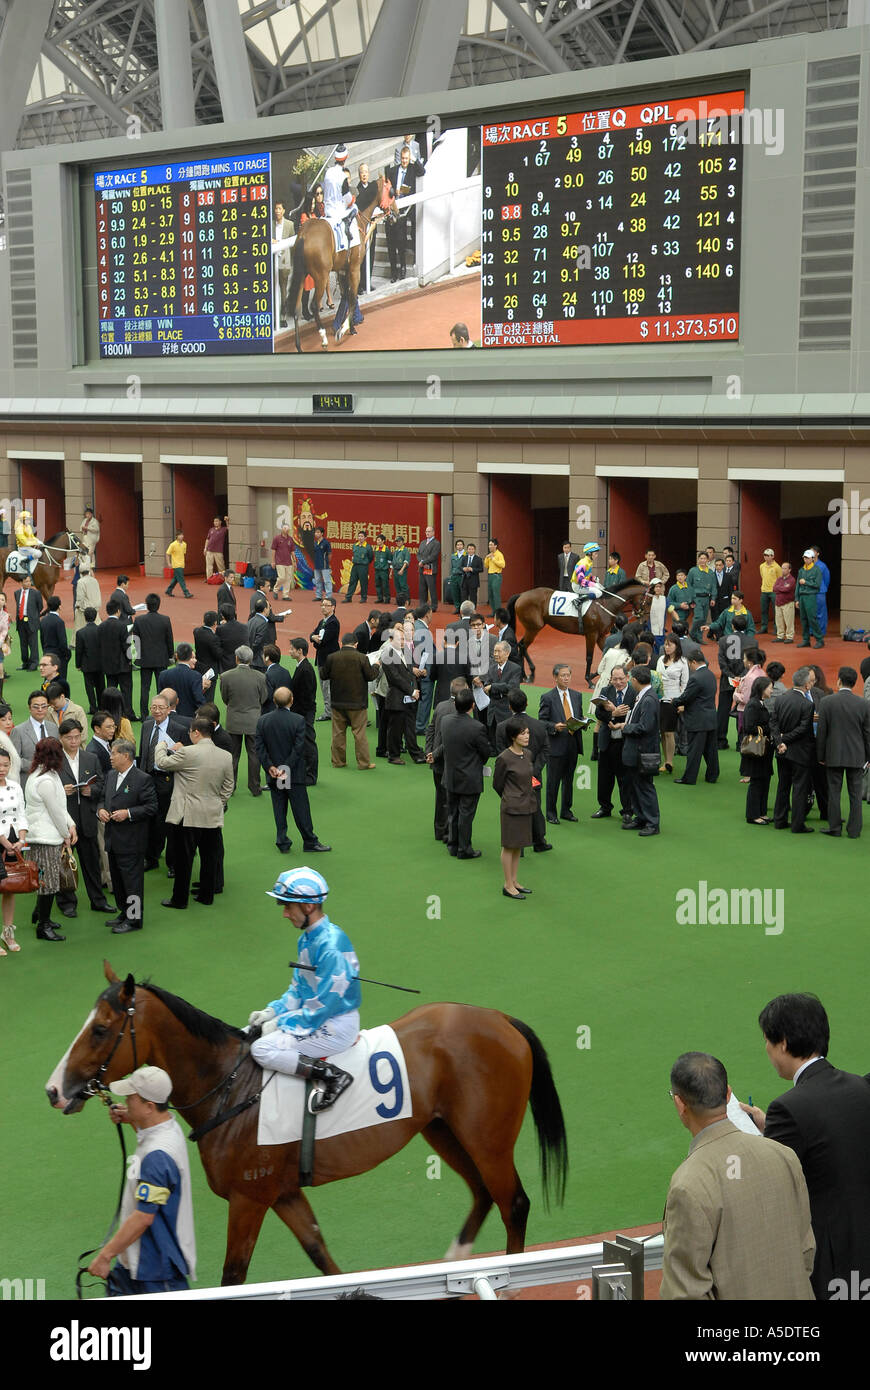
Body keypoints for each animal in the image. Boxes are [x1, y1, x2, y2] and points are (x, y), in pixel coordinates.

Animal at [47, 967, 567, 1278]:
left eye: (100, 1029)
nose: (55, 1090)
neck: (230, 1088)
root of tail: (501, 1019)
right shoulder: (283, 1193)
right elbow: (320, 1252)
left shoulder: (249, 1199)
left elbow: (234, 1273)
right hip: (442, 1130)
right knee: (482, 1194)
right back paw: (453, 1260)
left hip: (488, 1139)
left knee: (514, 1203)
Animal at [287, 173, 397, 355]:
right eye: (392, 192)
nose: (396, 213)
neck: (358, 220)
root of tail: (303, 235)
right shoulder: (354, 269)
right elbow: (352, 298)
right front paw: (344, 329)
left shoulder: (342, 270)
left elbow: (346, 296)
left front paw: (349, 326)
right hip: (321, 276)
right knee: (314, 305)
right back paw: (323, 338)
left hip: (302, 274)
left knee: (296, 309)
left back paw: (298, 346)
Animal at [508, 578, 650, 686]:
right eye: (648, 602)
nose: (645, 619)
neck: (605, 604)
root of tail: (521, 595)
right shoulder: (591, 634)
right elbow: (589, 657)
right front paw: (589, 680)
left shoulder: (601, 636)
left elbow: (605, 654)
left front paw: (594, 675)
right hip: (533, 628)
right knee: (523, 646)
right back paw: (530, 674)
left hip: (531, 628)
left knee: (521, 645)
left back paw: (523, 675)